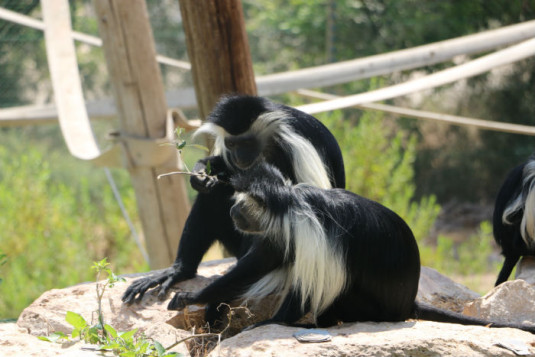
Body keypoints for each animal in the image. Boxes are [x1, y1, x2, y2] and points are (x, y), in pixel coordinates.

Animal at [122, 94, 346, 314]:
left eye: (246, 142)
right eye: (231, 144)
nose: (239, 156)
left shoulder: (297, 147)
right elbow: (224, 171)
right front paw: (200, 173)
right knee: (212, 196)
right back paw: (178, 272)